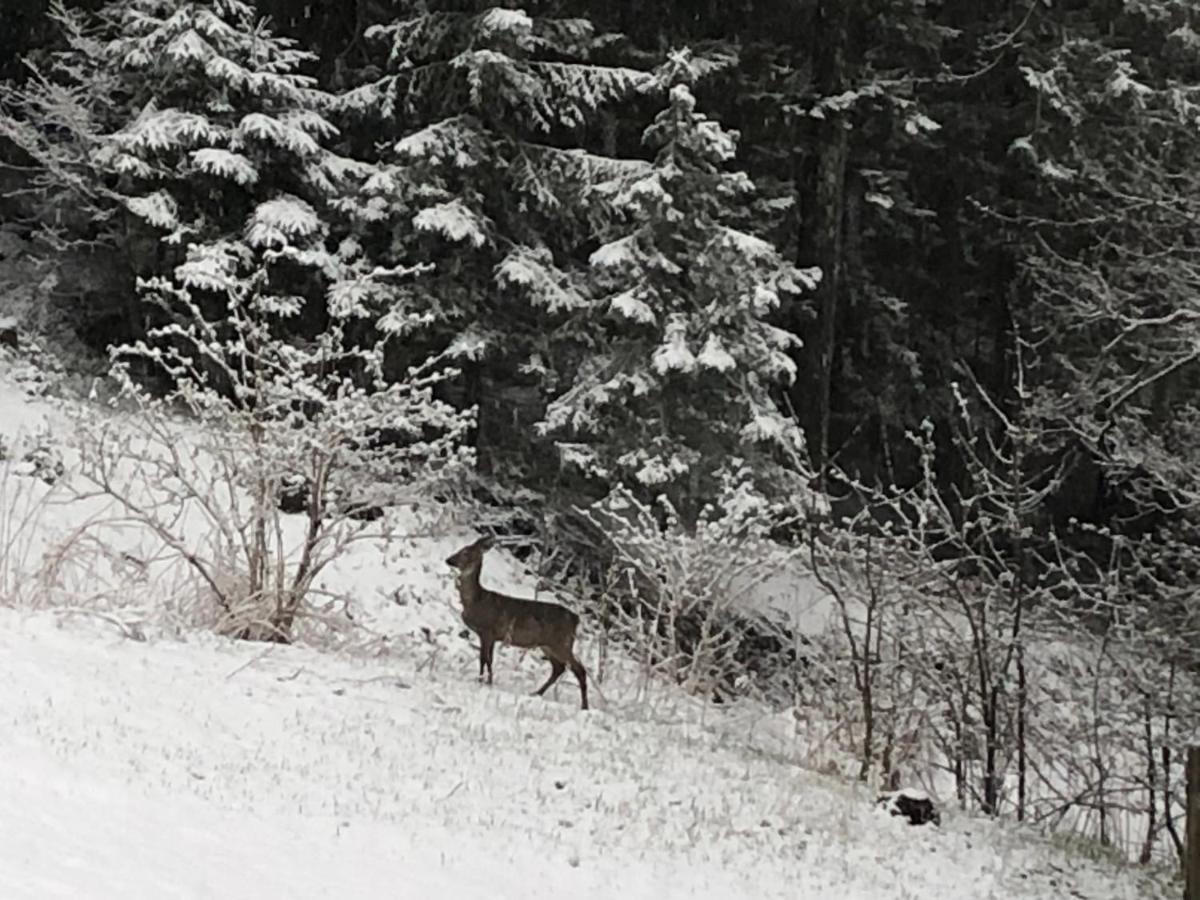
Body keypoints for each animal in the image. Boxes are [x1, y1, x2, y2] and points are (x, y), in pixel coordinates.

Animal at [444, 535, 588, 710]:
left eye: (466, 551)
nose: (448, 559)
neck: (476, 600)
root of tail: (576, 619)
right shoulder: (490, 635)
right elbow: (487, 659)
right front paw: (486, 681)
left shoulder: (487, 630)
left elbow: (485, 658)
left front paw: (483, 681)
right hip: (548, 645)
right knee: (558, 668)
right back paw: (536, 693)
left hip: (562, 643)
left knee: (579, 669)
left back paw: (584, 706)